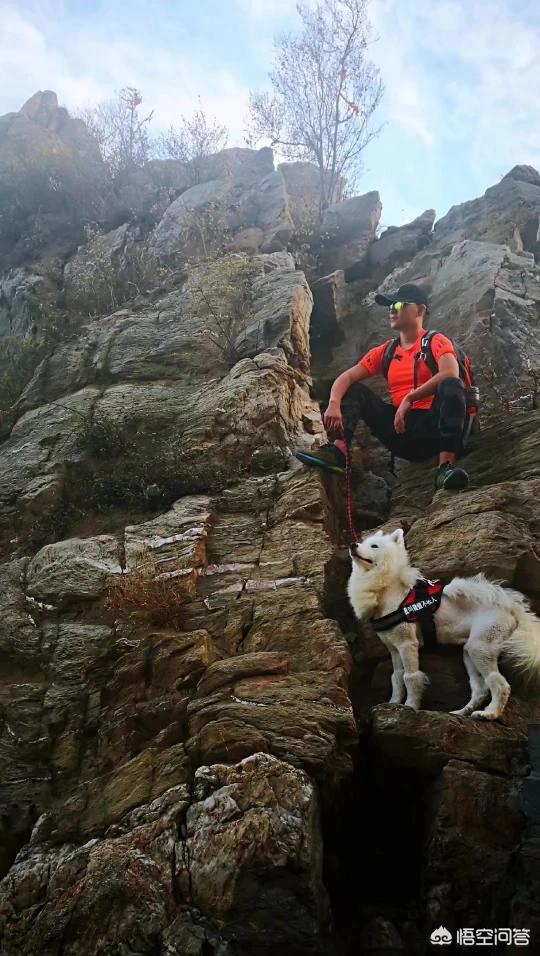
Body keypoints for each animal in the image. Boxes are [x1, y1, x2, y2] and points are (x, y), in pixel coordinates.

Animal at [348, 528, 540, 719]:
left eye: (374, 546)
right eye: (363, 542)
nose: (352, 544)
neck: (390, 592)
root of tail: (511, 608)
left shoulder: (407, 644)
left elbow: (410, 677)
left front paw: (410, 706)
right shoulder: (394, 649)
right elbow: (396, 677)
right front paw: (393, 704)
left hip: (481, 646)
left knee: (499, 683)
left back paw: (490, 713)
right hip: (469, 652)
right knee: (480, 688)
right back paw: (463, 712)